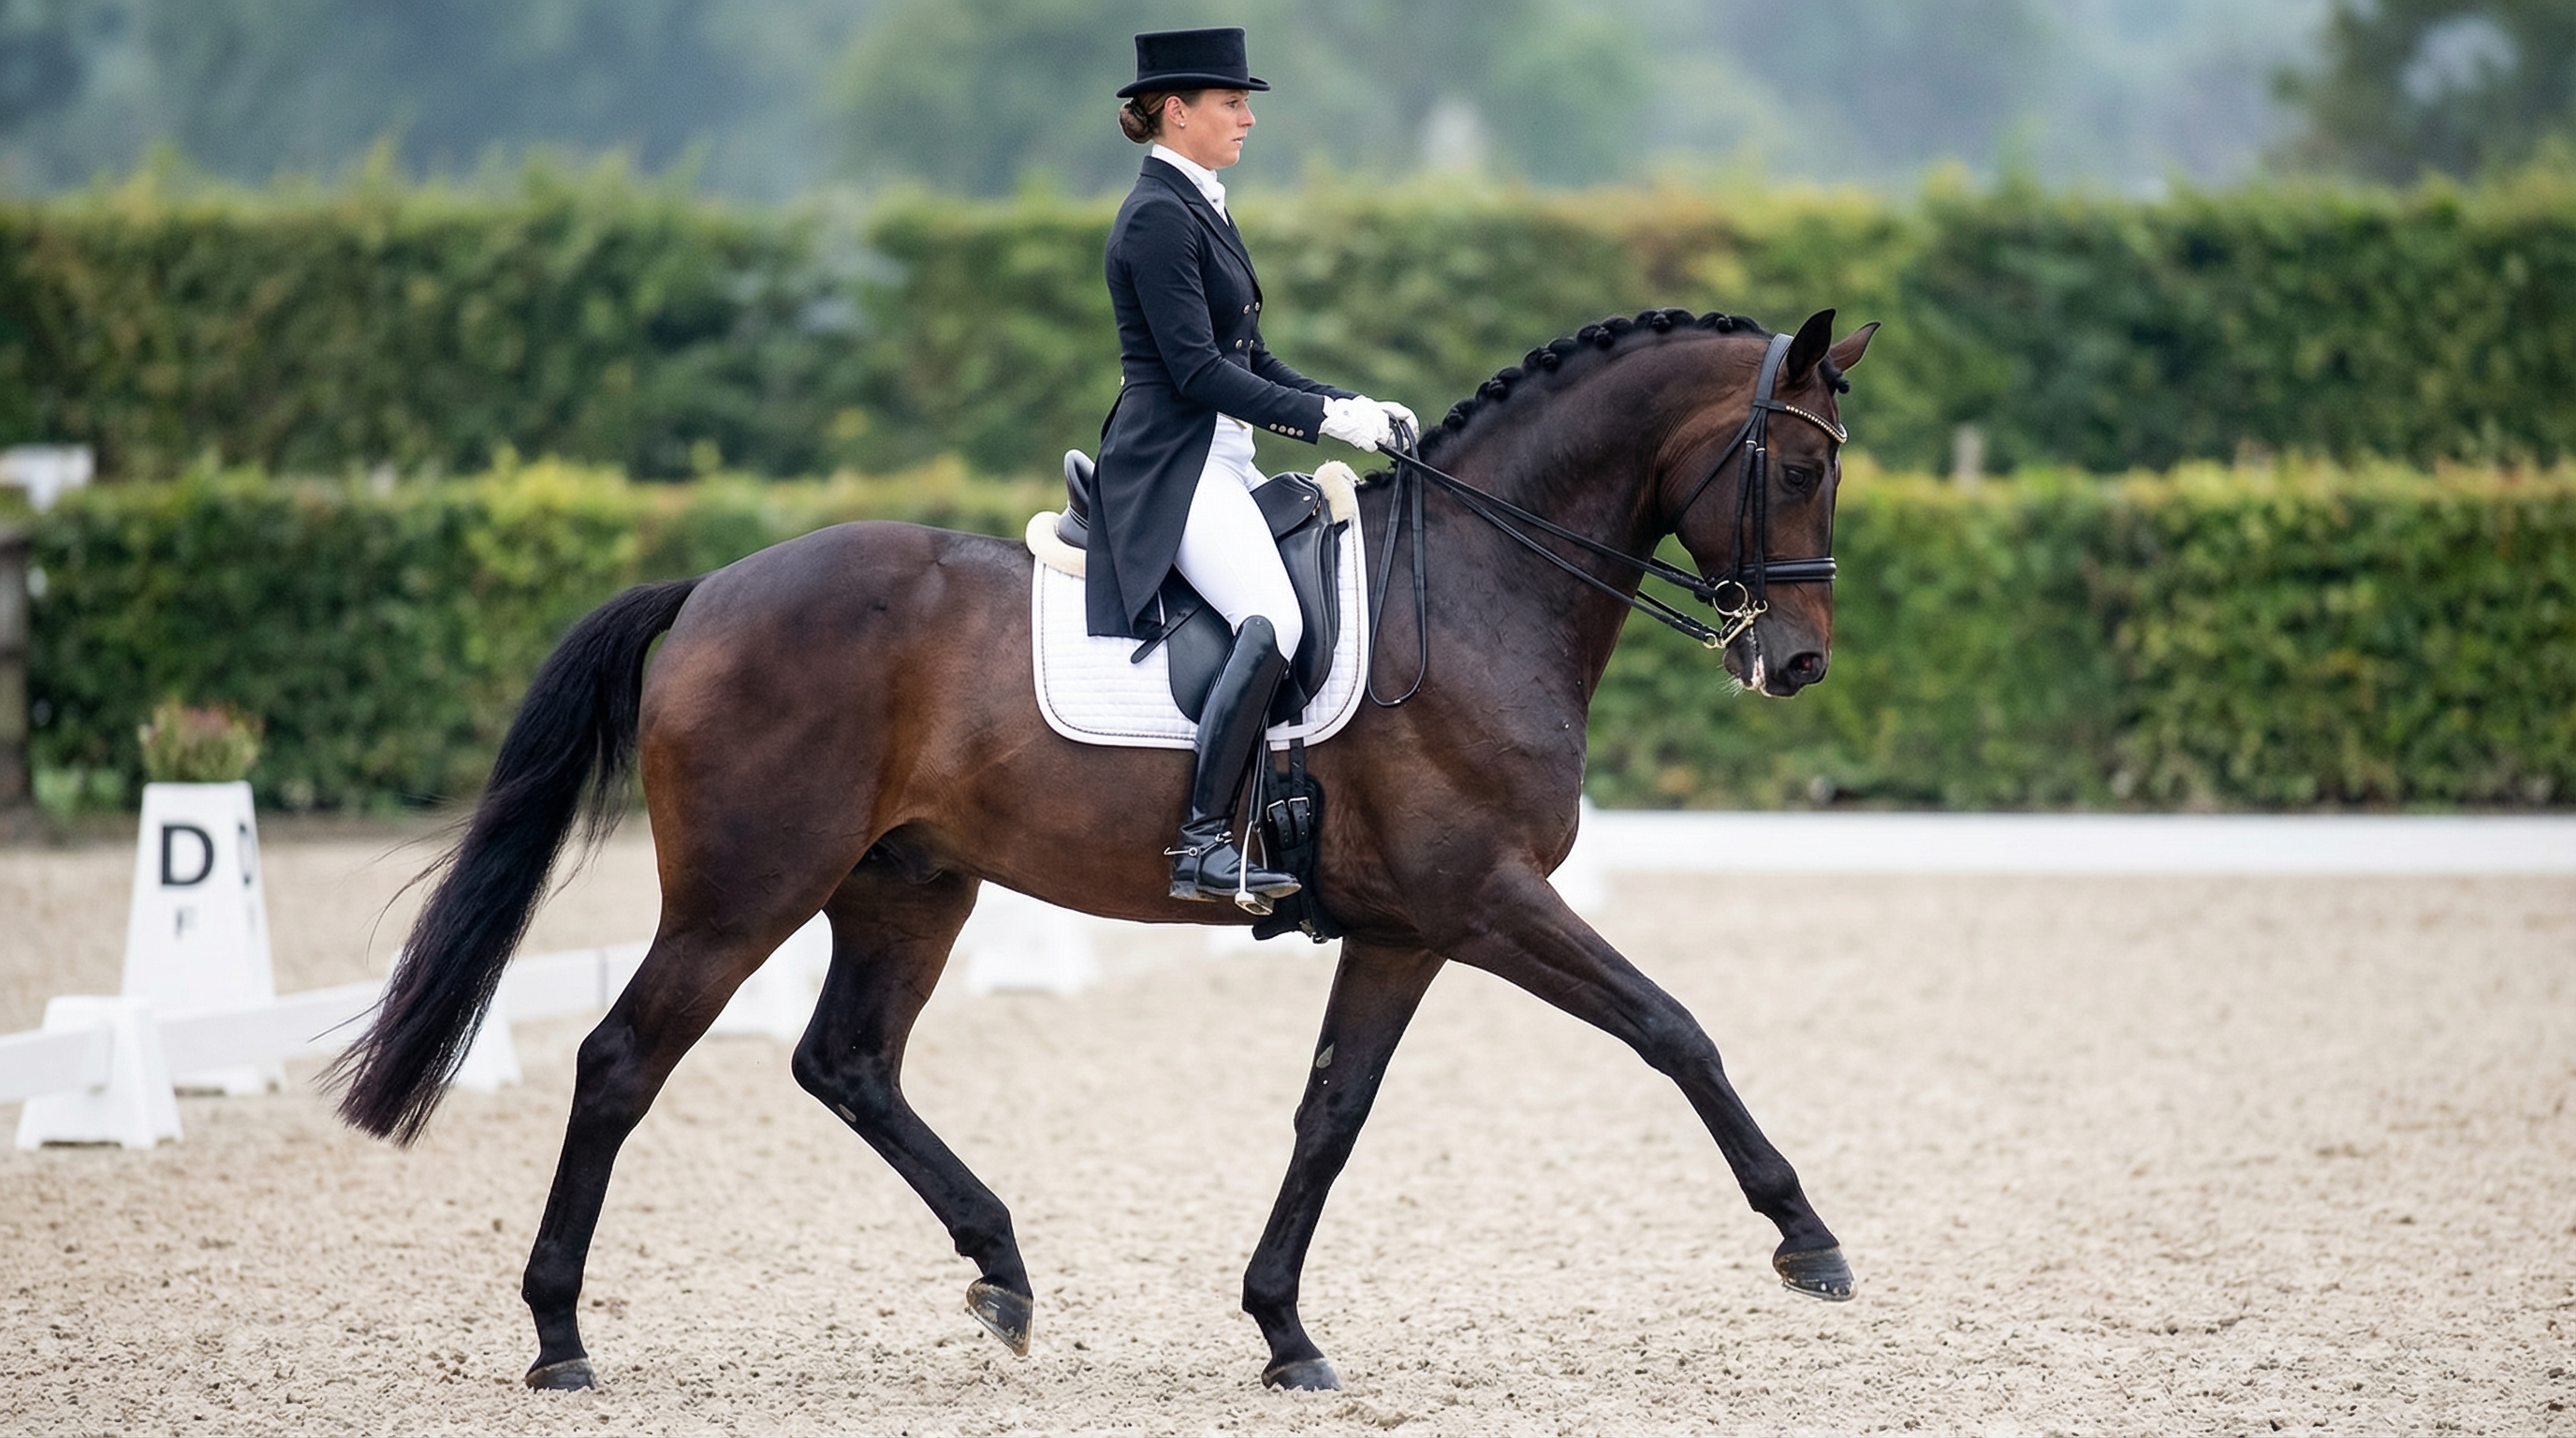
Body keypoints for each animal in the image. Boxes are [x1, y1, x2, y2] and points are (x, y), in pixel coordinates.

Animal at [330, 305, 1879, 1394]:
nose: (1800, 663)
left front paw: (1282, 1329)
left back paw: (1003, 1272)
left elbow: (1332, 1114)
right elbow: (1673, 1030)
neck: (1480, 590)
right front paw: (1808, 1239)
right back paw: (558, 1337)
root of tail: (711, 586)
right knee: (620, 1062)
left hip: (908, 890)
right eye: (1799, 465)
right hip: (742, 892)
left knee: (846, 1062)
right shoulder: (1486, 900)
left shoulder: (1405, 929)